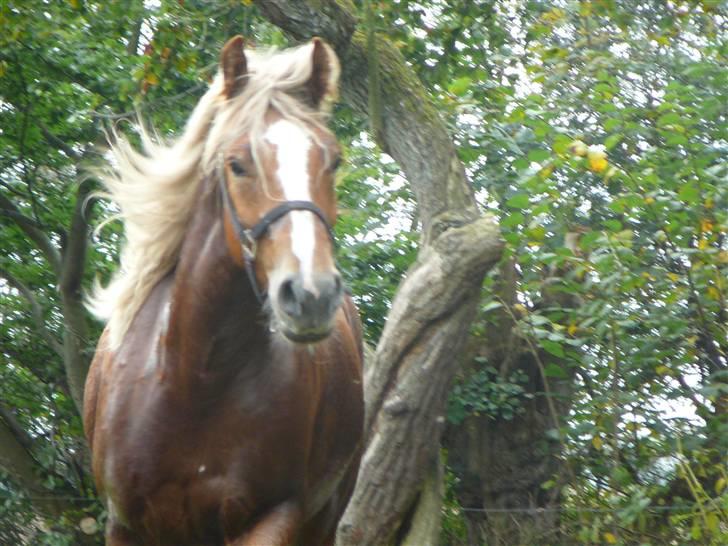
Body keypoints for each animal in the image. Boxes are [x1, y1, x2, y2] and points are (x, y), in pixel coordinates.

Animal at [84, 36, 364, 540]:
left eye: (333, 161)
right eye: (237, 165)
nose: (310, 295)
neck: (193, 380)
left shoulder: (276, 515)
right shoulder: (126, 525)